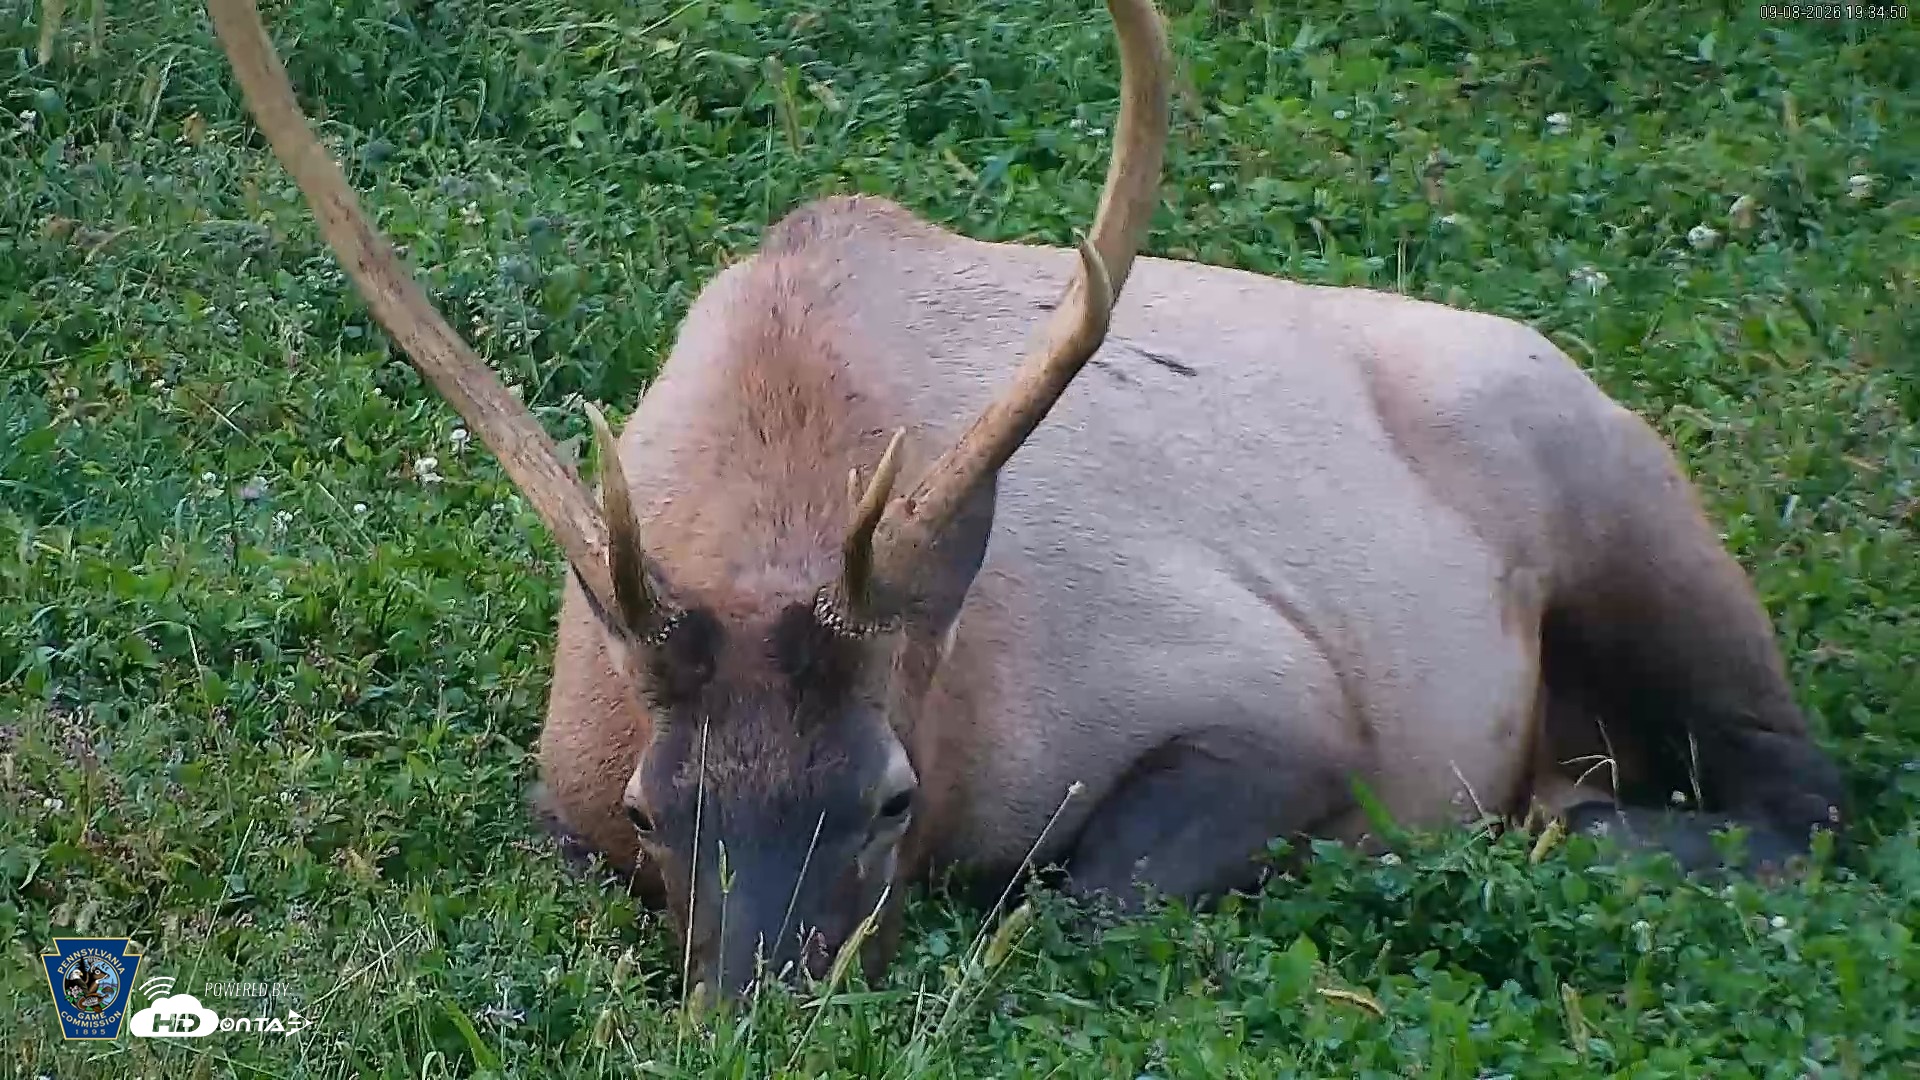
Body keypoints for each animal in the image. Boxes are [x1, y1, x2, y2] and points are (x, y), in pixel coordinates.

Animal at [207, 0, 1847, 1003]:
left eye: (891, 795)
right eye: (652, 810)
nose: (759, 1009)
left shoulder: (1287, 709)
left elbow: (1071, 902)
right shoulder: (561, 783)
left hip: (1622, 504)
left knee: (1808, 791)